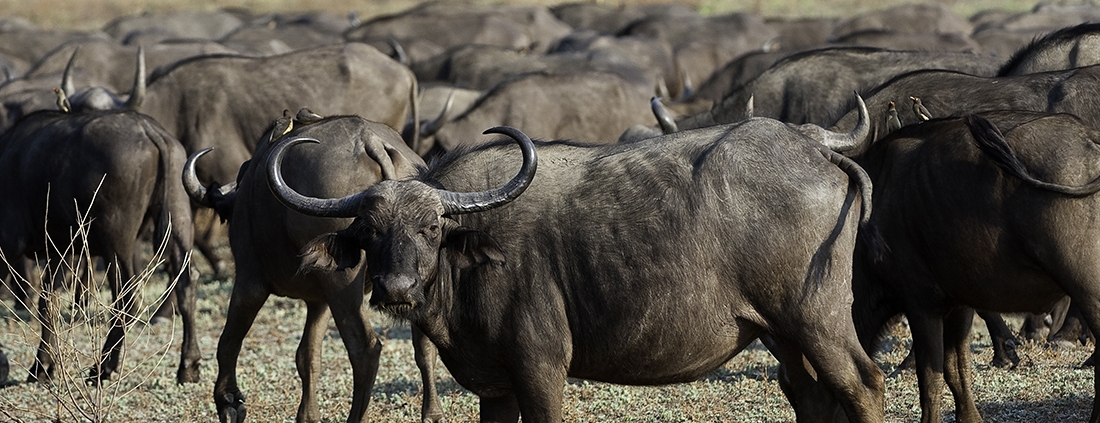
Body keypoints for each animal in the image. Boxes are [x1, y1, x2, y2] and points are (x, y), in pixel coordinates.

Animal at [0, 107, 198, 382]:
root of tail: (149, 129)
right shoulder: (60, 252)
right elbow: (48, 303)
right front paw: (43, 367)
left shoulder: (9, 245)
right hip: (177, 218)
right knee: (186, 282)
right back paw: (188, 365)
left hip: (115, 241)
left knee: (128, 296)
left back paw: (103, 366)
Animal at [181, 113, 442, 421]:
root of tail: (371, 141)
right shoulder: (319, 301)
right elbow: (307, 356)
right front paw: (307, 414)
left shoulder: (249, 281)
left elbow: (229, 340)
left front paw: (229, 401)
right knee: (424, 345)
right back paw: (433, 413)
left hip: (343, 284)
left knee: (365, 348)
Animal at [264, 103, 884, 421]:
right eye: (370, 232)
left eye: (432, 227)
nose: (395, 288)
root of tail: (814, 148)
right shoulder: (494, 388)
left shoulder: (541, 369)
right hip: (783, 331)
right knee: (810, 396)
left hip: (817, 319)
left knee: (863, 383)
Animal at [853, 110, 1100, 419]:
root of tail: (1090, 139)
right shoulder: (958, 304)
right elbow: (957, 371)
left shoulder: (921, 304)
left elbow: (930, 378)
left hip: (1088, 291)